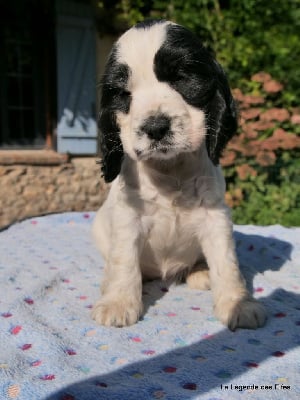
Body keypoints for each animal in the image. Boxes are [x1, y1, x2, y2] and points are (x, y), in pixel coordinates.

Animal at [92, 19, 266, 332]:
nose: (155, 127)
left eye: (182, 77)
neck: (170, 169)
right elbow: (124, 260)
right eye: (123, 94)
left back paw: (200, 272)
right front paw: (118, 302)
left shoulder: (215, 216)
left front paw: (238, 304)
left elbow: (227, 261)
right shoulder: (127, 216)